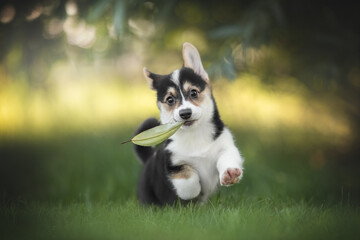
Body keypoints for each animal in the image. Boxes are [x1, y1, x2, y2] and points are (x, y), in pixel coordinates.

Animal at [135, 42, 245, 205]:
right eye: (170, 100)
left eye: (193, 92)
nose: (185, 113)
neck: (195, 133)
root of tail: (148, 160)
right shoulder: (173, 162)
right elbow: (188, 179)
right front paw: (193, 192)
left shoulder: (225, 146)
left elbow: (227, 158)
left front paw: (230, 173)